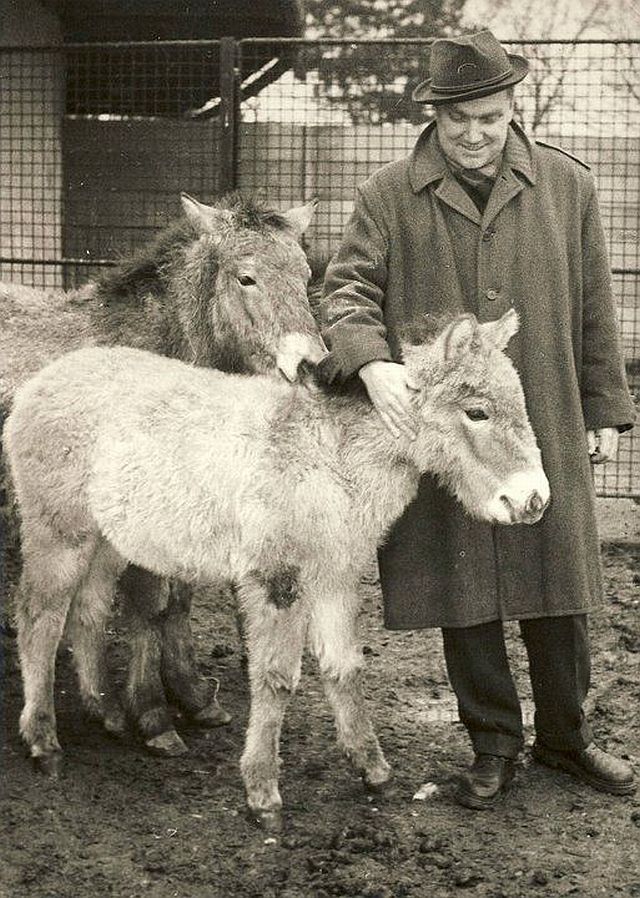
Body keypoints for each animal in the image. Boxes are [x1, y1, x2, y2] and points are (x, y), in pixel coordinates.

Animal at [5, 308, 548, 824]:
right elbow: (276, 677)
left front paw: (373, 770)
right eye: (477, 412)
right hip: (61, 533)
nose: (533, 500)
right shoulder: (277, 579)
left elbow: (344, 666)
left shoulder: (334, 576)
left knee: (88, 609)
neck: (329, 454)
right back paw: (44, 742)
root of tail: (41, 381)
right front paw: (262, 793)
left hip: (107, 541)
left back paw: (108, 712)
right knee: (40, 619)